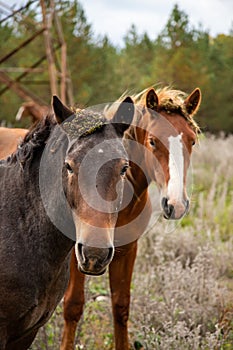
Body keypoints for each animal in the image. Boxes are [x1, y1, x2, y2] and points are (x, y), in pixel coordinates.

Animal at [61, 85, 201, 350]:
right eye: (152, 141)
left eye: (192, 141)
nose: (176, 204)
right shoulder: (77, 252)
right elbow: (73, 305)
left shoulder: (126, 250)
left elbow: (121, 306)